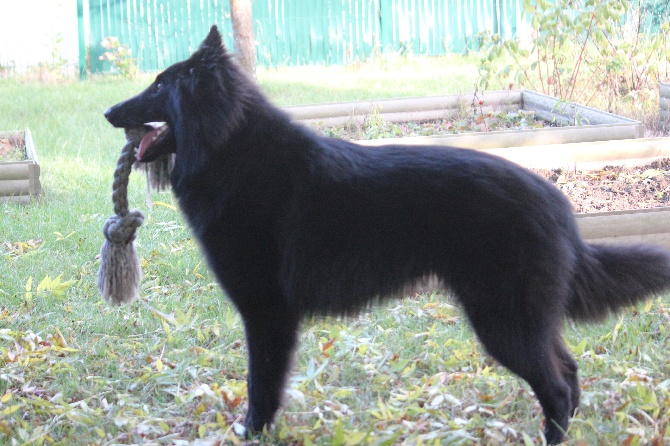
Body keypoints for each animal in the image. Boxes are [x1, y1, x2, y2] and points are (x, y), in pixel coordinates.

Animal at [103, 26, 670, 444]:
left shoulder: (267, 315)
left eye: (160, 86)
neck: (231, 148)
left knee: (556, 389)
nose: (108, 111)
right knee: (569, 377)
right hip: (524, 320)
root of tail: (559, 206)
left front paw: (252, 433)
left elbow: (261, 387)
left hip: (505, 322)